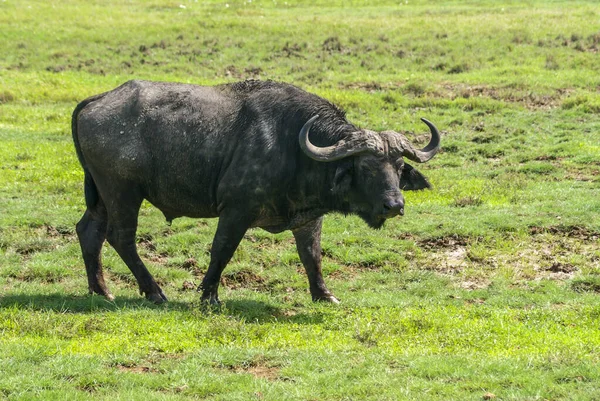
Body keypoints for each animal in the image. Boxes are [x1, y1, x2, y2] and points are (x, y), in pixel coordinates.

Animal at [74, 79, 440, 304]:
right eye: (366, 168)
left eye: (398, 167)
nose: (394, 205)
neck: (293, 146)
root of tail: (96, 101)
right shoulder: (236, 211)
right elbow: (221, 250)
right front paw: (209, 296)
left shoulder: (309, 218)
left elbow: (312, 256)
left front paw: (324, 295)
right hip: (123, 192)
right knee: (121, 237)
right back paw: (154, 292)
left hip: (102, 196)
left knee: (89, 230)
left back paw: (101, 290)